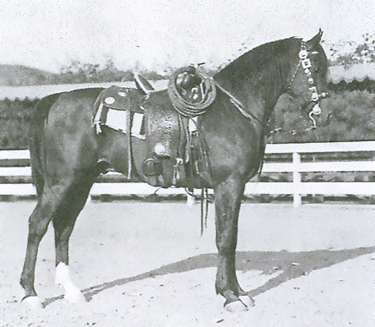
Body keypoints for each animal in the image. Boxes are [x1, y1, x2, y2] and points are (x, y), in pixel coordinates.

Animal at [20, 30, 332, 312]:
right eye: (316, 67)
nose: (327, 114)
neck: (231, 109)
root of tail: (55, 99)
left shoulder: (233, 187)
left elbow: (231, 236)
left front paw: (239, 292)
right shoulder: (228, 184)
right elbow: (225, 238)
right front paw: (229, 295)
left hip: (82, 182)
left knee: (63, 228)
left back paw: (71, 291)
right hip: (61, 182)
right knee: (37, 224)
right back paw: (30, 294)